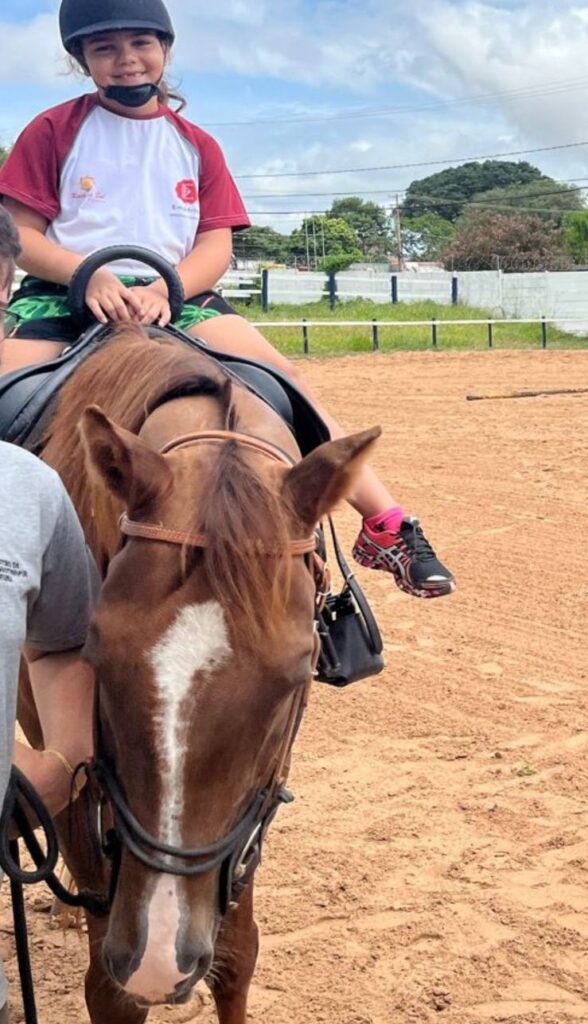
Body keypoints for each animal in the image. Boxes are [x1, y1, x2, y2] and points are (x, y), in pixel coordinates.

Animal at [17, 323, 379, 1023]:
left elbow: (237, 956)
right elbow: (112, 990)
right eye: (95, 650)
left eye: (296, 675)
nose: (159, 959)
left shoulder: (256, 800)